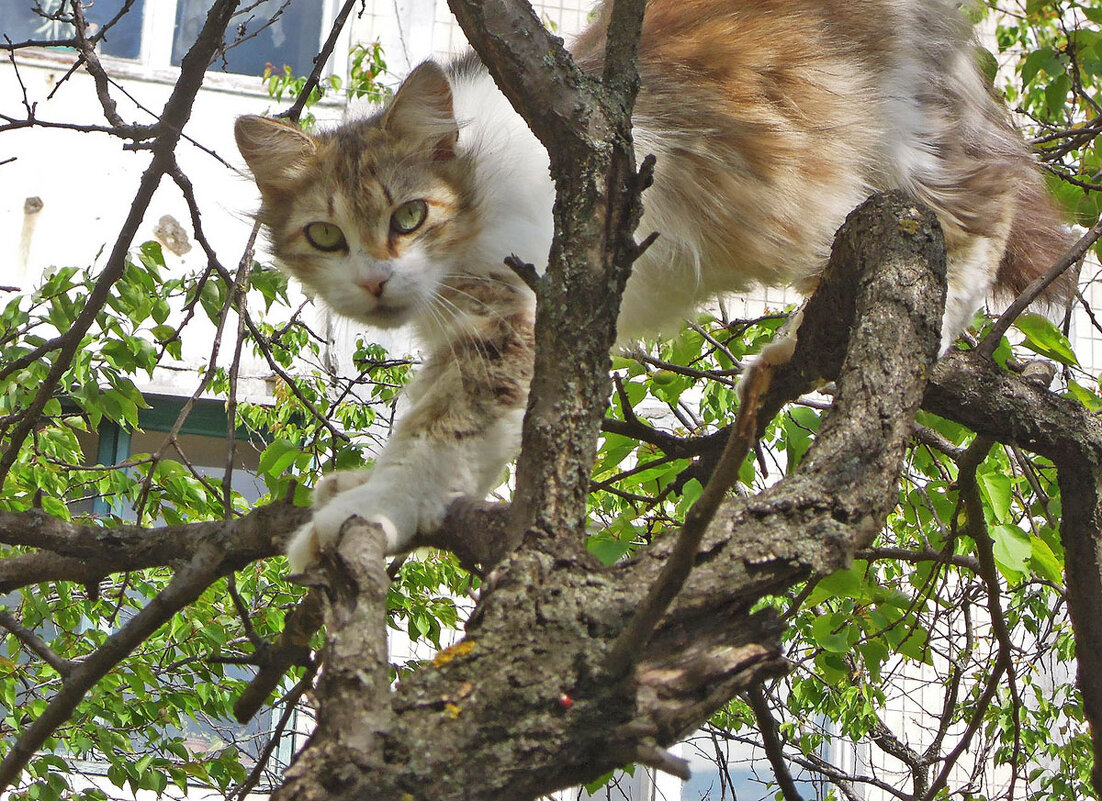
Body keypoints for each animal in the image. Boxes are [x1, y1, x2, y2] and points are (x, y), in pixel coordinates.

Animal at [232, 0, 1066, 572]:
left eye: (409, 216)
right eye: (326, 237)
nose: (374, 282)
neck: (473, 190)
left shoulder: (510, 324)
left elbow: (440, 443)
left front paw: (369, 510)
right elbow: (414, 429)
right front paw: (359, 483)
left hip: (848, 179)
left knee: (963, 222)